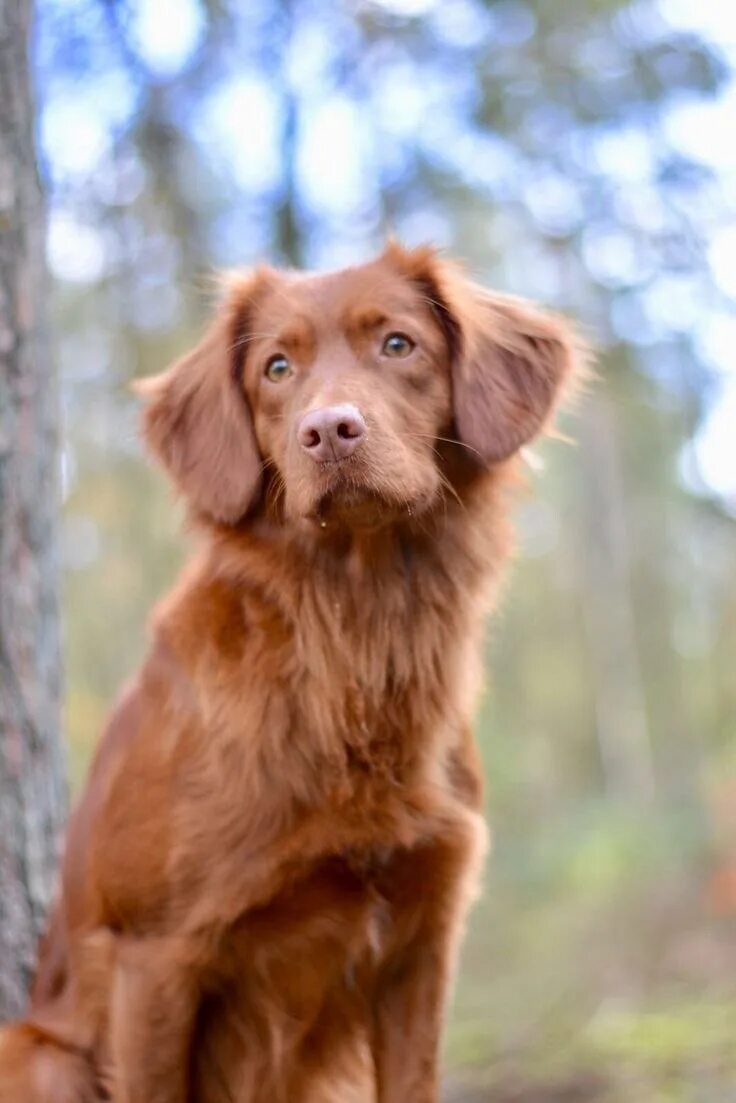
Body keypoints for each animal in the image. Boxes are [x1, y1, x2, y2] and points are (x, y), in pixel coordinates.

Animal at [0, 243, 582, 1103]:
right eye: (276, 367)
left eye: (399, 344)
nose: (329, 430)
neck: (354, 636)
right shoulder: (153, 958)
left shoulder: (421, 942)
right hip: (41, 1055)